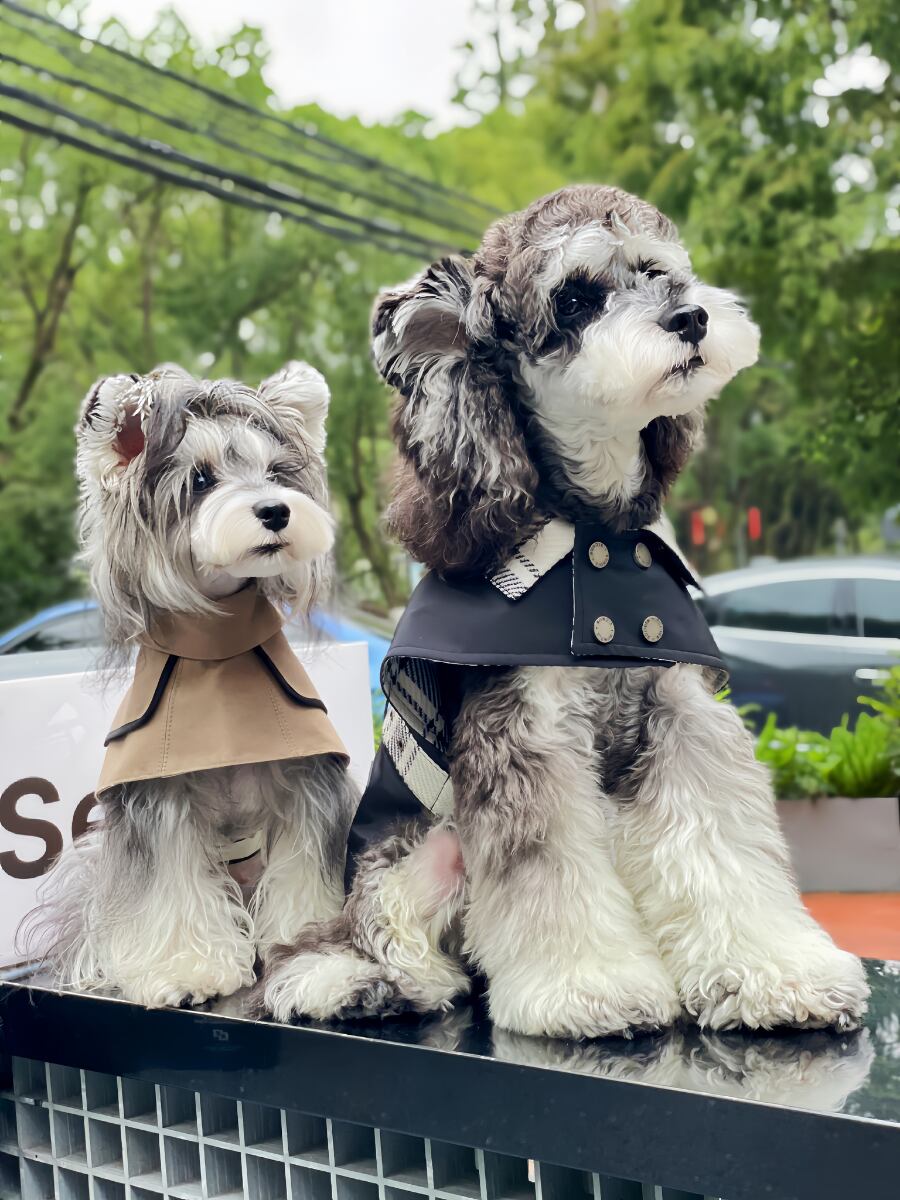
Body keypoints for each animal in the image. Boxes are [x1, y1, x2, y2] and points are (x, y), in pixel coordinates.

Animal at [24, 362, 356, 1008]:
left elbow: (306, 872)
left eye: (276, 472)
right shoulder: (158, 800)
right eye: (200, 479)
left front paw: (310, 948)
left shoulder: (310, 785)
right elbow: (169, 887)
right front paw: (187, 971)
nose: (276, 510)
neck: (218, 649)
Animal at [262, 185, 869, 1038]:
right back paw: (349, 982)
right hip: (416, 851)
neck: (594, 530)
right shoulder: (523, 732)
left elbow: (719, 848)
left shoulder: (684, 718)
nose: (692, 318)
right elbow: (548, 872)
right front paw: (590, 987)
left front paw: (776, 974)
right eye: (577, 298)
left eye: (659, 271)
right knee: (375, 938)